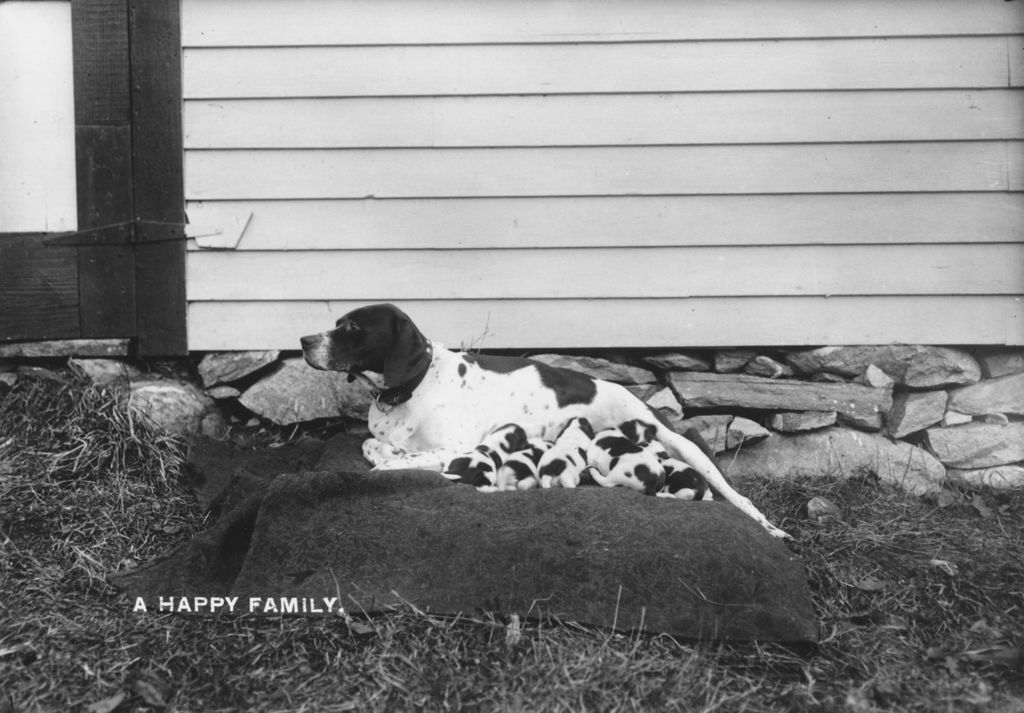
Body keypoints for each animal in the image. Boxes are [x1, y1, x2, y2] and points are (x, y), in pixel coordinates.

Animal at [299, 301, 786, 540]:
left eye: (354, 328)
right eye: (338, 322)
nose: (302, 340)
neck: (409, 390)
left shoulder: (457, 447)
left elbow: (388, 464)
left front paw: (391, 459)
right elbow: (373, 446)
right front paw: (385, 448)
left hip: (686, 449)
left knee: (739, 500)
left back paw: (771, 529)